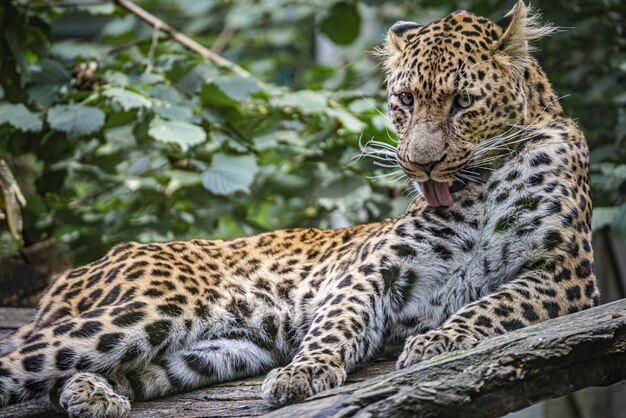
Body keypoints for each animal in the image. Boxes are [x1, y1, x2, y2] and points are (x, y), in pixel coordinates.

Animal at [0, 1, 596, 416]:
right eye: (405, 100)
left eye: (462, 102)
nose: (420, 165)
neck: (483, 185)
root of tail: (77, 270)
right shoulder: (374, 267)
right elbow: (339, 320)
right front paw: (304, 372)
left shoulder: (566, 275)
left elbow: (495, 305)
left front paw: (439, 340)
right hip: (149, 309)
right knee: (23, 359)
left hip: (211, 349)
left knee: (72, 377)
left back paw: (91, 395)